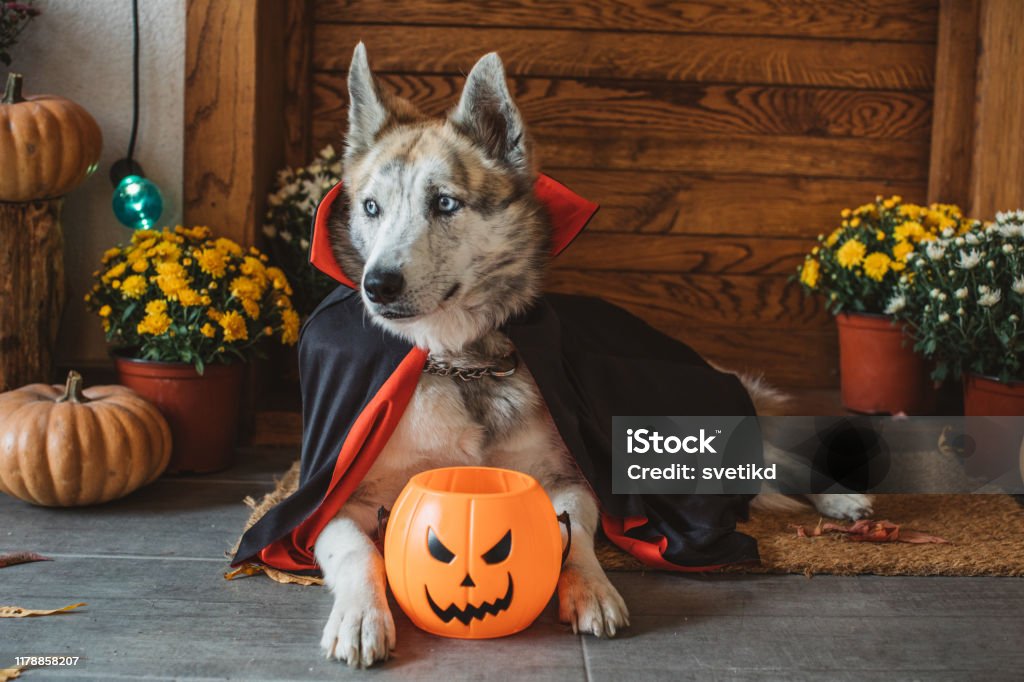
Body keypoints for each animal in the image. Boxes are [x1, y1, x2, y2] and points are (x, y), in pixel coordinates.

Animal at [313, 42, 872, 663]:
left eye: (445, 203)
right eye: (371, 208)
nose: (378, 285)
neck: (462, 365)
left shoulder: (569, 476)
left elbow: (574, 532)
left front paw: (592, 588)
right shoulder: (335, 499)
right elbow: (356, 550)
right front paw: (361, 615)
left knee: (774, 460)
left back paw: (843, 500)